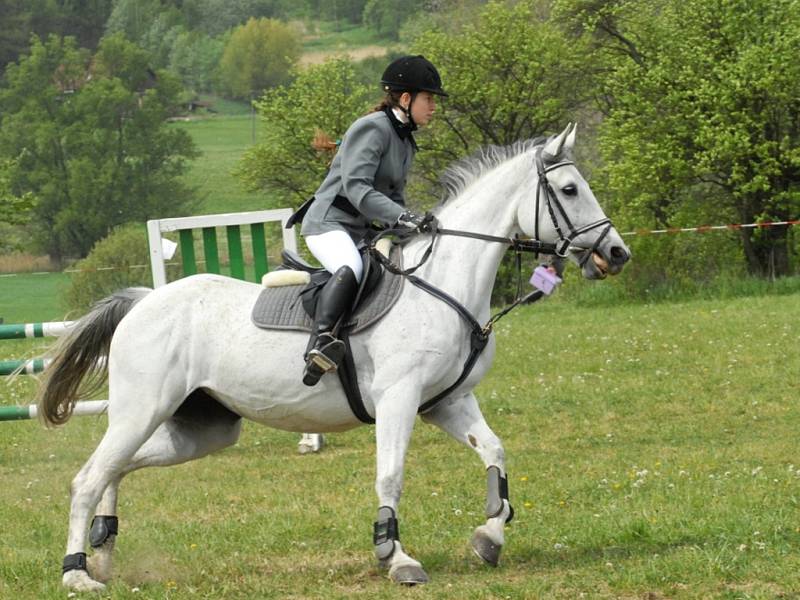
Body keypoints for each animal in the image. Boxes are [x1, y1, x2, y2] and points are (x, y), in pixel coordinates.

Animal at [39, 124, 632, 592]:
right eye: (570, 189)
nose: (617, 253)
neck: (443, 285)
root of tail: (144, 301)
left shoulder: (448, 402)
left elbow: (495, 451)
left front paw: (489, 537)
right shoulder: (398, 400)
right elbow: (390, 477)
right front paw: (396, 557)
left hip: (204, 428)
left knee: (117, 469)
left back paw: (104, 551)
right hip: (142, 410)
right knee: (88, 478)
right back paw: (78, 573)